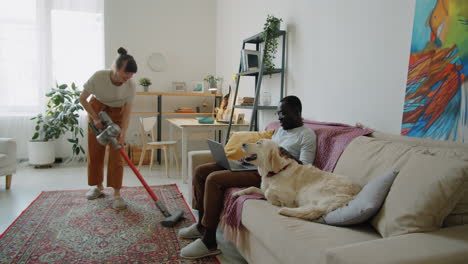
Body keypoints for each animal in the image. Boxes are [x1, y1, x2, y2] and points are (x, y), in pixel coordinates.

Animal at [232, 139, 360, 222]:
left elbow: (269, 192)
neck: (275, 172)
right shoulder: (263, 188)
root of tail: (354, 194)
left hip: (309, 190)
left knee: (314, 209)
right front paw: (238, 193)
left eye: (259, 143)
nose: (242, 143)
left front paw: (276, 202)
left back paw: (285, 209)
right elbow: (252, 187)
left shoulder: (289, 195)